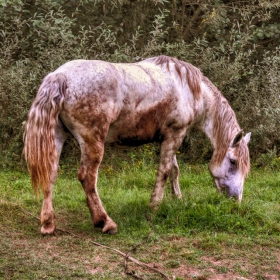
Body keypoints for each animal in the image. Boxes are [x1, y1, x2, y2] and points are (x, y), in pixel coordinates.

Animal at [23, 54, 252, 234]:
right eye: (233, 161)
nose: (236, 200)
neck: (188, 87)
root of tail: (60, 76)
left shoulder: (169, 137)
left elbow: (174, 170)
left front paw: (177, 199)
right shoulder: (175, 135)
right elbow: (164, 172)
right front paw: (154, 207)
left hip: (57, 136)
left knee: (51, 173)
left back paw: (48, 224)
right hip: (92, 142)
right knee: (87, 178)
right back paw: (105, 222)